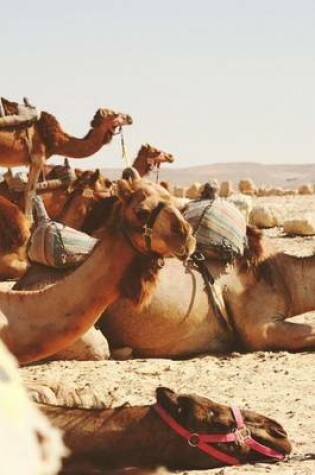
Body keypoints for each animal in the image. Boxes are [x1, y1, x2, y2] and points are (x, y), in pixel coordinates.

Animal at [0, 98, 132, 218]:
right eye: (115, 114)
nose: (130, 118)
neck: (55, 140)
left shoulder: (34, 162)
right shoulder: (38, 159)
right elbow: (30, 193)